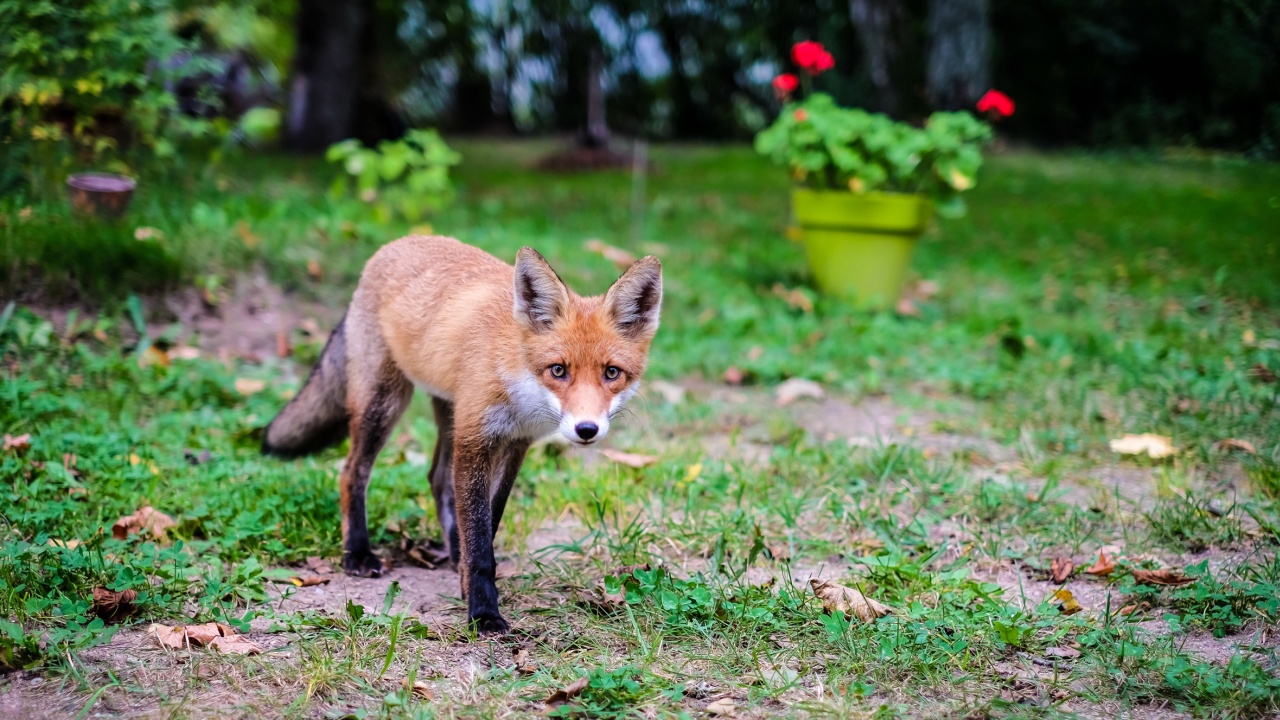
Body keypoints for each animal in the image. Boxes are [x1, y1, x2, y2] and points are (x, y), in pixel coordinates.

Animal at [262, 235, 661, 634]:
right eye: (558, 370)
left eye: (611, 373)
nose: (586, 429)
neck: (519, 389)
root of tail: (394, 245)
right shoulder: (475, 438)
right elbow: (480, 542)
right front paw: (483, 612)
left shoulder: (514, 444)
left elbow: (487, 525)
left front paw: (468, 581)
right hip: (385, 402)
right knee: (351, 473)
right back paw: (357, 553)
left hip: (446, 411)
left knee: (438, 479)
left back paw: (452, 550)